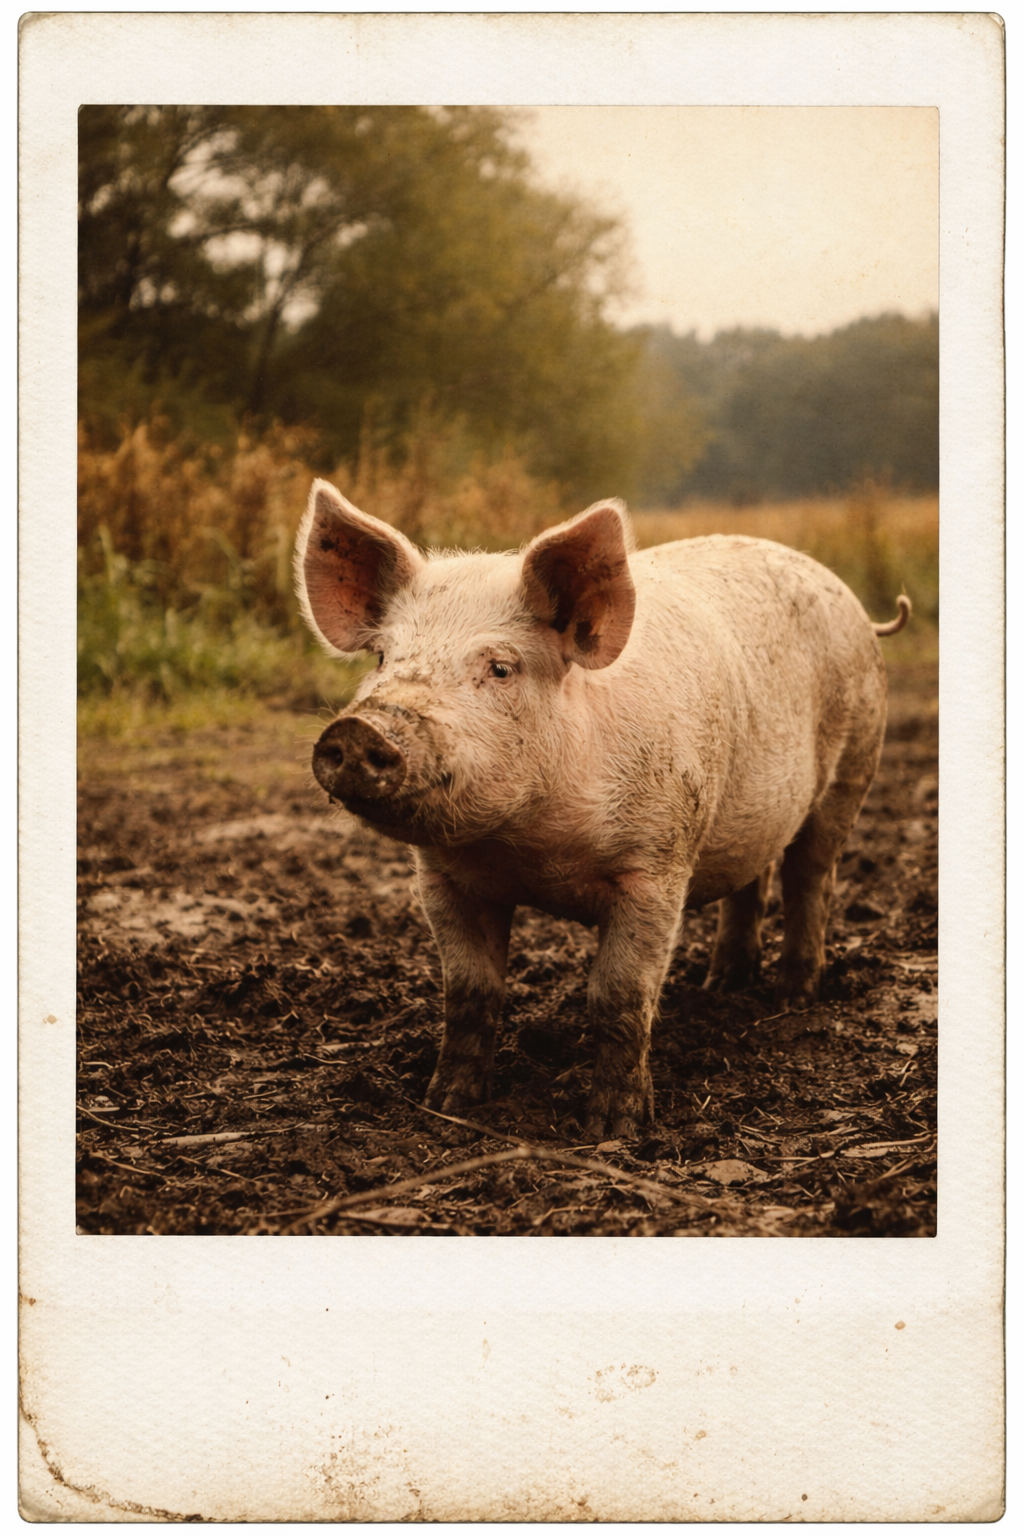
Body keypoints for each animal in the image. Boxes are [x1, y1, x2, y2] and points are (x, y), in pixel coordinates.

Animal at [296, 479, 910, 1138]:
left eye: (500, 667)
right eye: (383, 658)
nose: (361, 727)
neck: (529, 852)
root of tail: (851, 599)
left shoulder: (657, 865)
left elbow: (619, 996)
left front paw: (614, 1128)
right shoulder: (443, 878)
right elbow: (468, 992)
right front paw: (446, 1104)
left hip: (854, 766)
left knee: (810, 878)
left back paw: (794, 998)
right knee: (755, 878)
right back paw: (723, 982)